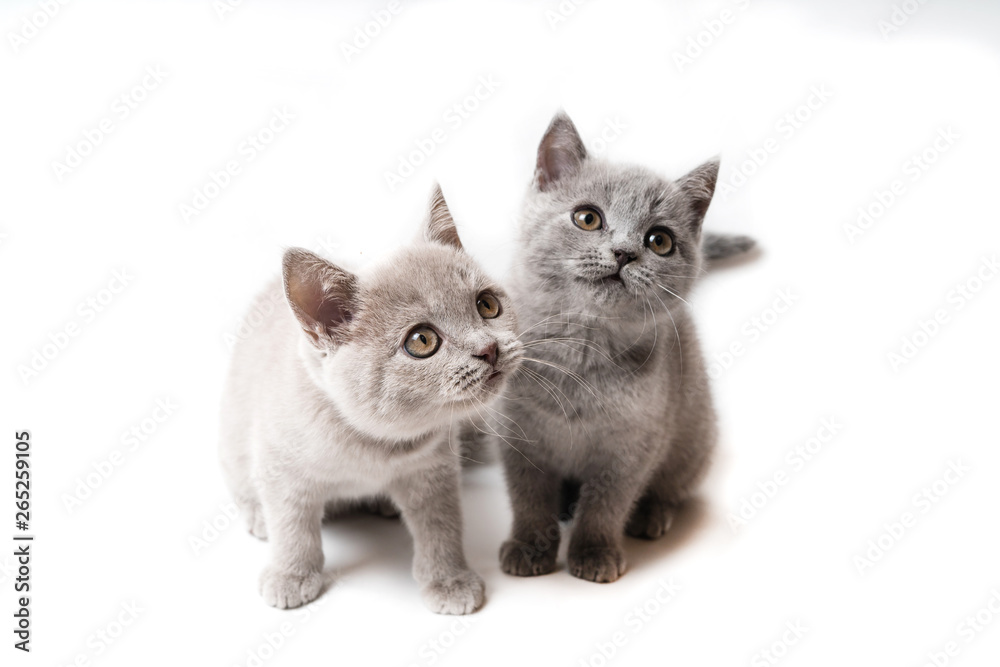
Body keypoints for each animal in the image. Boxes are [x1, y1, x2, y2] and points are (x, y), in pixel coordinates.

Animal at [221, 185, 524, 612]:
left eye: (487, 304)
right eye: (421, 341)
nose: (490, 349)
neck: (376, 446)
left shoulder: (433, 469)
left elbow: (442, 526)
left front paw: (448, 579)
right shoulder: (280, 465)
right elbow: (292, 526)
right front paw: (290, 575)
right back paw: (257, 515)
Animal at [500, 112, 752, 580]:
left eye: (659, 240)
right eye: (587, 218)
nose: (623, 253)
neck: (583, 354)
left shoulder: (633, 447)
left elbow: (607, 504)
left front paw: (593, 552)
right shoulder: (519, 438)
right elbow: (529, 499)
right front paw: (530, 546)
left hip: (695, 437)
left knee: (672, 487)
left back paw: (651, 515)